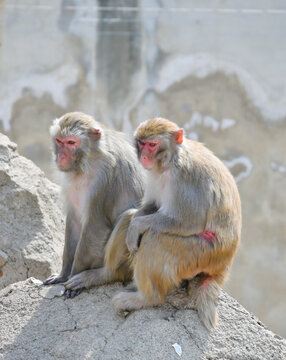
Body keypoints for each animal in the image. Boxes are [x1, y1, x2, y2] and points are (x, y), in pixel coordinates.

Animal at [43, 111, 145, 296]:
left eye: (71, 143)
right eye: (59, 141)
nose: (61, 157)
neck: (87, 160)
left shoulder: (104, 178)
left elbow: (94, 227)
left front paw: (74, 275)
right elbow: (75, 221)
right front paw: (63, 275)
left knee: (130, 217)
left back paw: (101, 275)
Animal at [109, 117, 241, 330]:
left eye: (152, 145)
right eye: (142, 144)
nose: (144, 156)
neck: (169, 162)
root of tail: (223, 265)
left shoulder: (185, 180)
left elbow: (188, 223)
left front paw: (136, 228)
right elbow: (150, 207)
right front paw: (134, 225)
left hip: (201, 254)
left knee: (156, 239)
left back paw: (146, 298)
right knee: (129, 217)